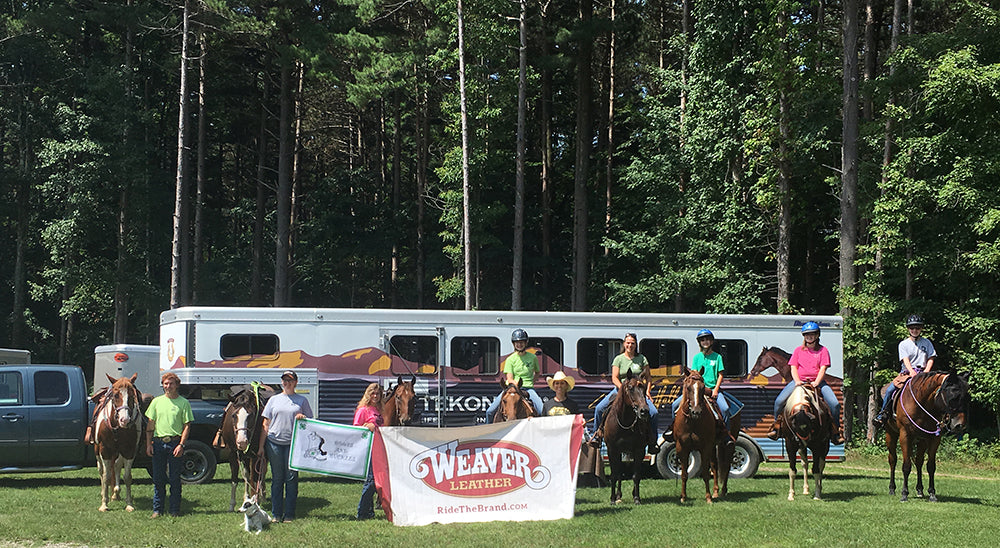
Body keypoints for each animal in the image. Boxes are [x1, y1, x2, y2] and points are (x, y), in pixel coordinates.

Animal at [93, 374, 143, 512]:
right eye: (116, 395)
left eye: (132, 396)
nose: (124, 420)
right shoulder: (104, 450)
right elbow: (106, 476)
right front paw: (104, 504)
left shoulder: (129, 450)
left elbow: (127, 476)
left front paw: (129, 504)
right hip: (98, 451)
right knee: (101, 470)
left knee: (116, 466)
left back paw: (116, 493)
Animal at [221, 384, 276, 512]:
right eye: (234, 415)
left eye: (251, 415)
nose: (242, 441)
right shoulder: (233, 453)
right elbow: (235, 479)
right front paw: (232, 504)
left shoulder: (256, 454)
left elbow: (255, 477)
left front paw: (256, 500)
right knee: (247, 475)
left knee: (261, 473)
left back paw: (262, 495)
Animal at [600, 370, 648, 504]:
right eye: (630, 388)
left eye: (644, 387)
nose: (644, 411)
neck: (625, 422)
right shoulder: (612, 450)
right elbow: (614, 475)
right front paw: (612, 499)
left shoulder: (639, 450)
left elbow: (636, 475)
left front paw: (637, 498)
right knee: (619, 473)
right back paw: (618, 496)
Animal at [672, 370, 728, 504]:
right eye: (688, 387)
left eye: (702, 388)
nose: (696, 411)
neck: (692, 421)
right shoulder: (682, 448)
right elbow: (684, 474)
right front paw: (683, 497)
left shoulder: (705, 447)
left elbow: (705, 474)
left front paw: (708, 498)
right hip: (713, 447)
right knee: (715, 465)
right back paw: (716, 492)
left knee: (727, 466)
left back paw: (722, 491)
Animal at [892, 370, 968, 504]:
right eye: (953, 398)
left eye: (967, 398)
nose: (960, 425)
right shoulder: (905, 435)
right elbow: (906, 466)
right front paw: (904, 494)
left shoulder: (934, 438)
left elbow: (931, 466)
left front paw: (932, 493)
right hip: (890, 434)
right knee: (892, 460)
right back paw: (892, 488)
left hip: (921, 440)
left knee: (918, 462)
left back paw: (920, 490)